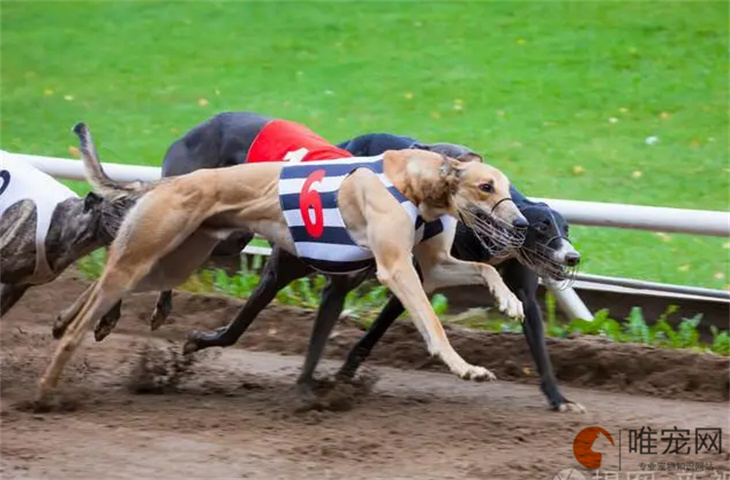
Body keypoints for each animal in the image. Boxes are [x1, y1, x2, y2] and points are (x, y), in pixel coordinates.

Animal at [41, 122, 524, 400]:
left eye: (506, 186)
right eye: (485, 186)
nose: (520, 223)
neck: (410, 183)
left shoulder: (429, 265)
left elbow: (482, 269)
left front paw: (510, 302)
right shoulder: (393, 268)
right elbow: (433, 323)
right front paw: (466, 367)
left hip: (188, 252)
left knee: (113, 279)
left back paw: (68, 320)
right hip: (184, 246)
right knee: (113, 270)